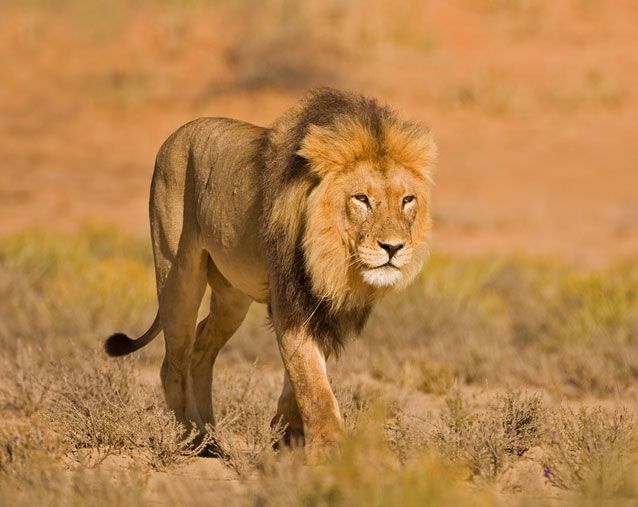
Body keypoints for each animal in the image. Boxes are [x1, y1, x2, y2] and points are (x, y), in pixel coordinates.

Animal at [105, 88, 438, 456]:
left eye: (407, 200)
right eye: (361, 198)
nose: (393, 247)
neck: (333, 262)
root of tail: (176, 134)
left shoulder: (325, 311)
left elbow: (302, 376)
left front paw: (285, 431)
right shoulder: (291, 303)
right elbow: (313, 385)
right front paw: (330, 450)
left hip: (232, 299)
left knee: (201, 349)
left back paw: (211, 439)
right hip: (177, 275)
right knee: (172, 364)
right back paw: (195, 439)